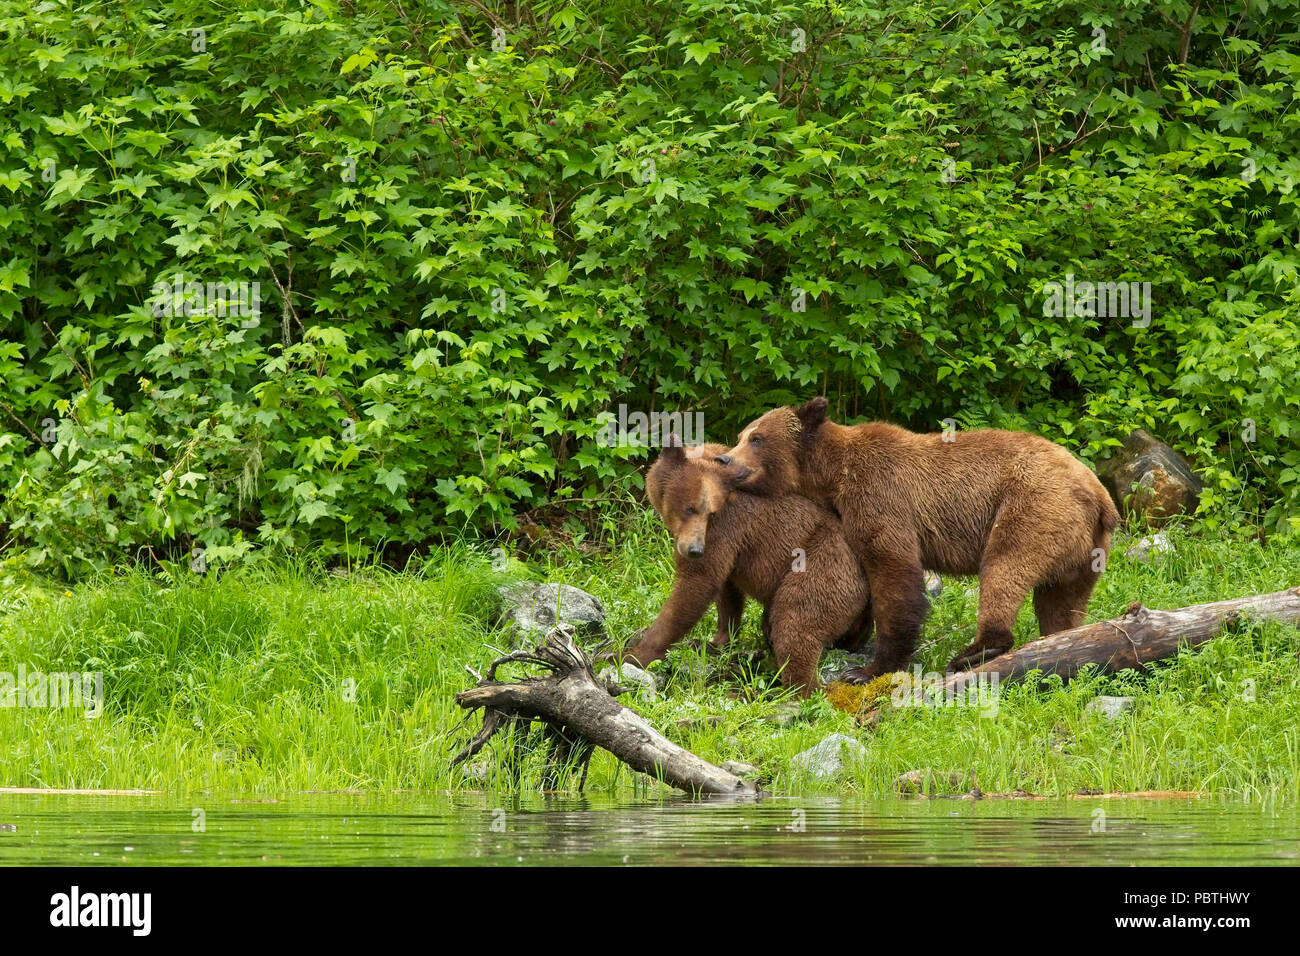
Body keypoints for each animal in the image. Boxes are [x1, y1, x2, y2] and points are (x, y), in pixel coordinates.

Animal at [621, 439, 873, 697]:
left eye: (710, 513)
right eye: (689, 508)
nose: (695, 550)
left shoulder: (725, 529)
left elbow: (695, 585)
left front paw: (632, 655)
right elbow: (726, 593)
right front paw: (713, 641)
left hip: (823, 565)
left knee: (796, 620)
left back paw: (791, 689)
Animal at [712, 400, 1118, 686]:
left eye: (756, 438)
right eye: (743, 434)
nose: (723, 458)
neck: (831, 478)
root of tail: (1099, 495)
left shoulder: (880, 496)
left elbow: (894, 576)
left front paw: (866, 669)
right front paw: (850, 638)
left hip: (1033, 506)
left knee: (1005, 567)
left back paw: (976, 650)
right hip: (1084, 550)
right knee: (1061, 601)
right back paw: (1062, 642)